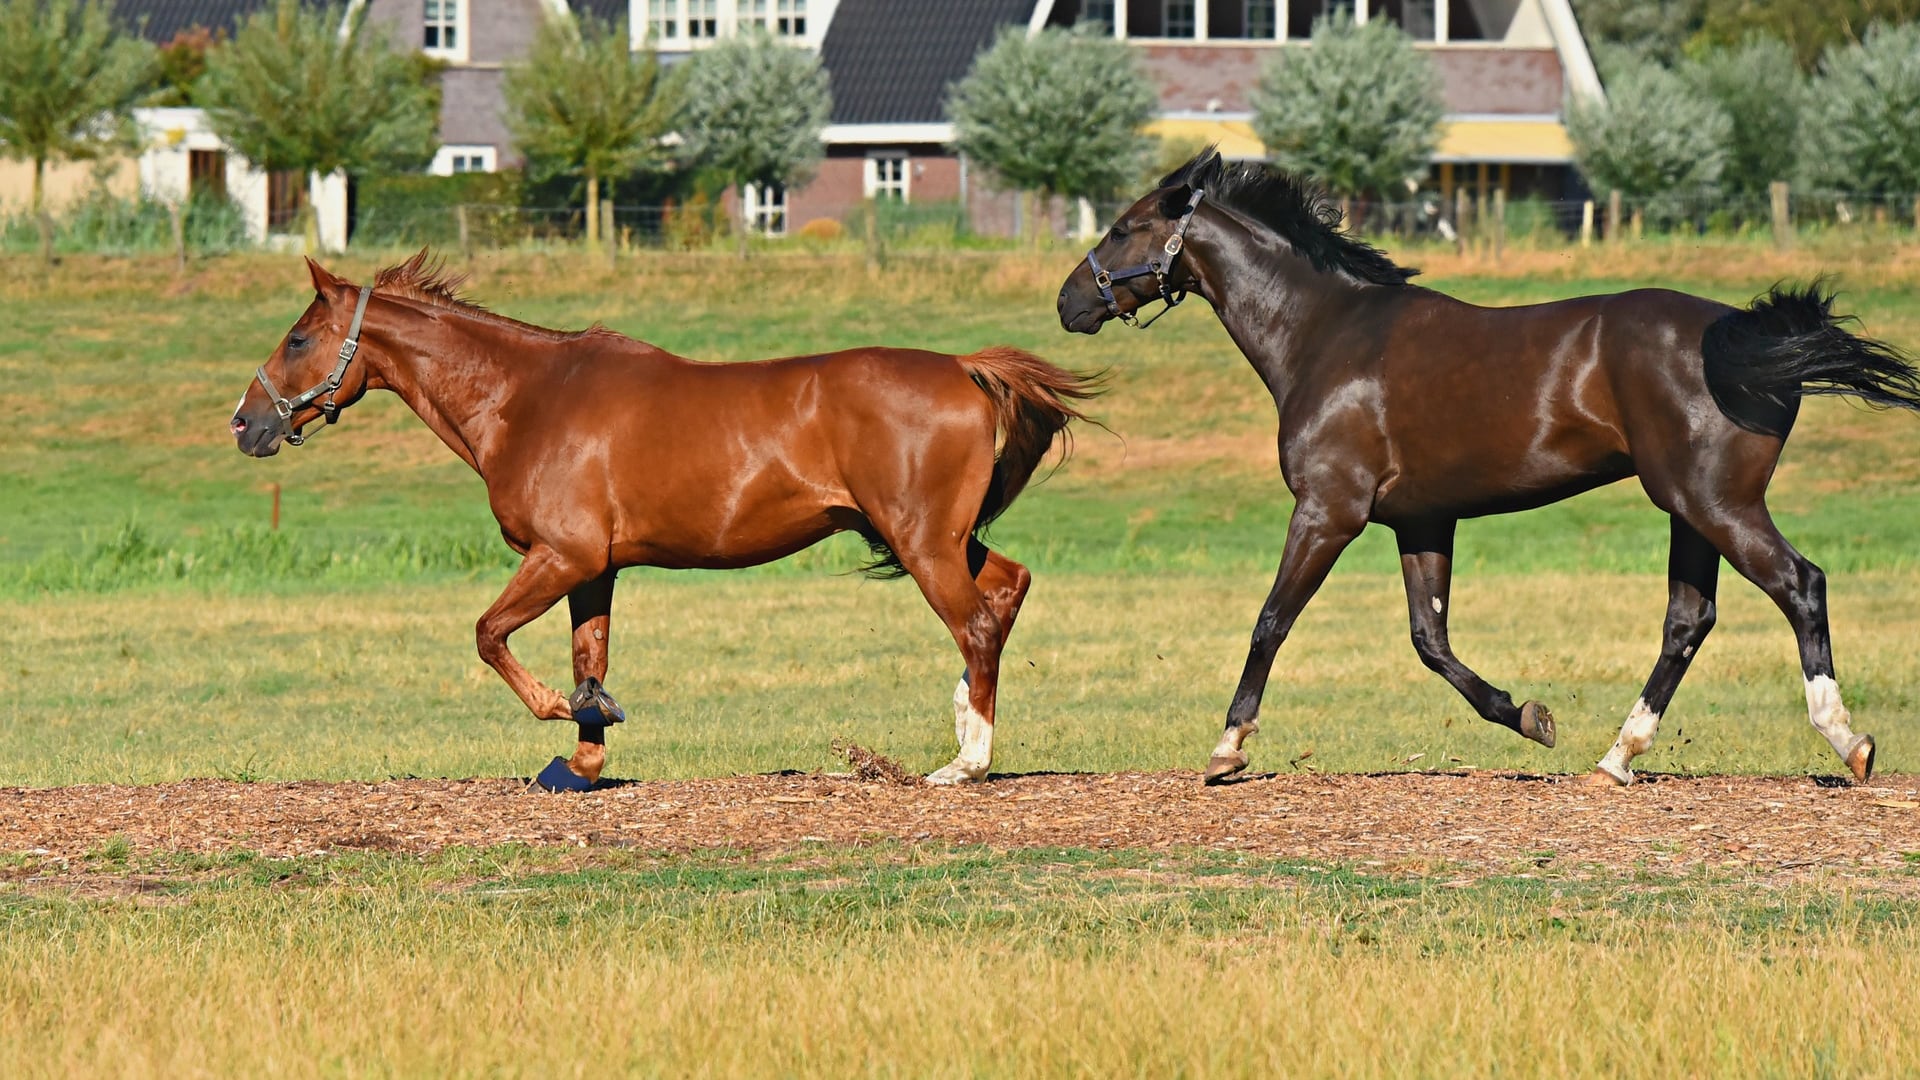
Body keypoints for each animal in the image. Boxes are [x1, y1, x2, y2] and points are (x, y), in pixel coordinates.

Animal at [230, 253, 1100, 786]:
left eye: (299, 338)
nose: (246, 424)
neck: (527, 397)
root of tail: (962, 367)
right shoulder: (594, 569)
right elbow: (590, 657)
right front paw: (583, 753)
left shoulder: (563, 556)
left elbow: (489, 635)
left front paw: (565, 709)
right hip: (934, 539)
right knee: (1007, 591)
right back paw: (961, 724)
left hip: (921, 543)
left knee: (976, 624)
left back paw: (967, 762)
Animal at [1058, 149, 1920, 788]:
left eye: (1124, 227)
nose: (1069, 302)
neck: (1325, 334)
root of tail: (1746, 337)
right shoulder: (1420, 521)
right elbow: (1430, 640)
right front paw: (1531, 717)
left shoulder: (1329, 509)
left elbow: (1272, 619)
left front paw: (1228, 748)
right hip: (1689, 509)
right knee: (1688, 621)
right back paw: (1616, 756)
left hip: (1717, 503)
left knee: (1800, 584)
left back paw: (1848, 743)